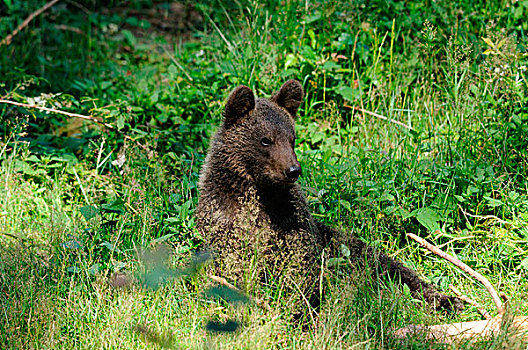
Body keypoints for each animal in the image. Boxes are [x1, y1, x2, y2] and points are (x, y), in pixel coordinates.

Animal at [195, 80, 462, 316]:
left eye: (292, 138)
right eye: (265, 140)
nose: (292, 170)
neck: (262, 195)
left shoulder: (296, 226)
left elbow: (302, 271)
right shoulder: (227, 224)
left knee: (387, 266)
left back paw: (447, 300)